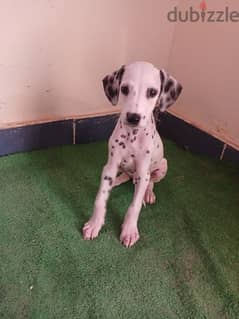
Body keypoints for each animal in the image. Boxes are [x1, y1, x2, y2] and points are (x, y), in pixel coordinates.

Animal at [83, 62, 182, 248]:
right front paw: (95, 223)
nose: (133, 117)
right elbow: (100, 198)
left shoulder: (143, 172)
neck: (132, 136)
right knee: (125, 176)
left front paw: (129, 230)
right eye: (124, 89)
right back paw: (118, 181)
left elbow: (134, 206)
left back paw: (147, 194)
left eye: (152, 92)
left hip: (163, 166)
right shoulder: (110, 167)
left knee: (150, 182)